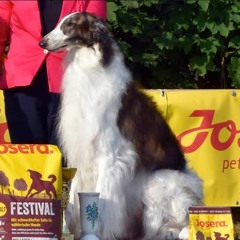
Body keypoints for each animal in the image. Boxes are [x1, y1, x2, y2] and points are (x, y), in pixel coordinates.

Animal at [39, 12, 202, 239]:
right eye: (60, 23)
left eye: (69, 25)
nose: (42, 42)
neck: (90, 70)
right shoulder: (83, 155)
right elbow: (72, 203)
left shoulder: (111, 157)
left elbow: (102, 203)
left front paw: (98, 233)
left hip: (157, 181)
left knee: (180, 225)